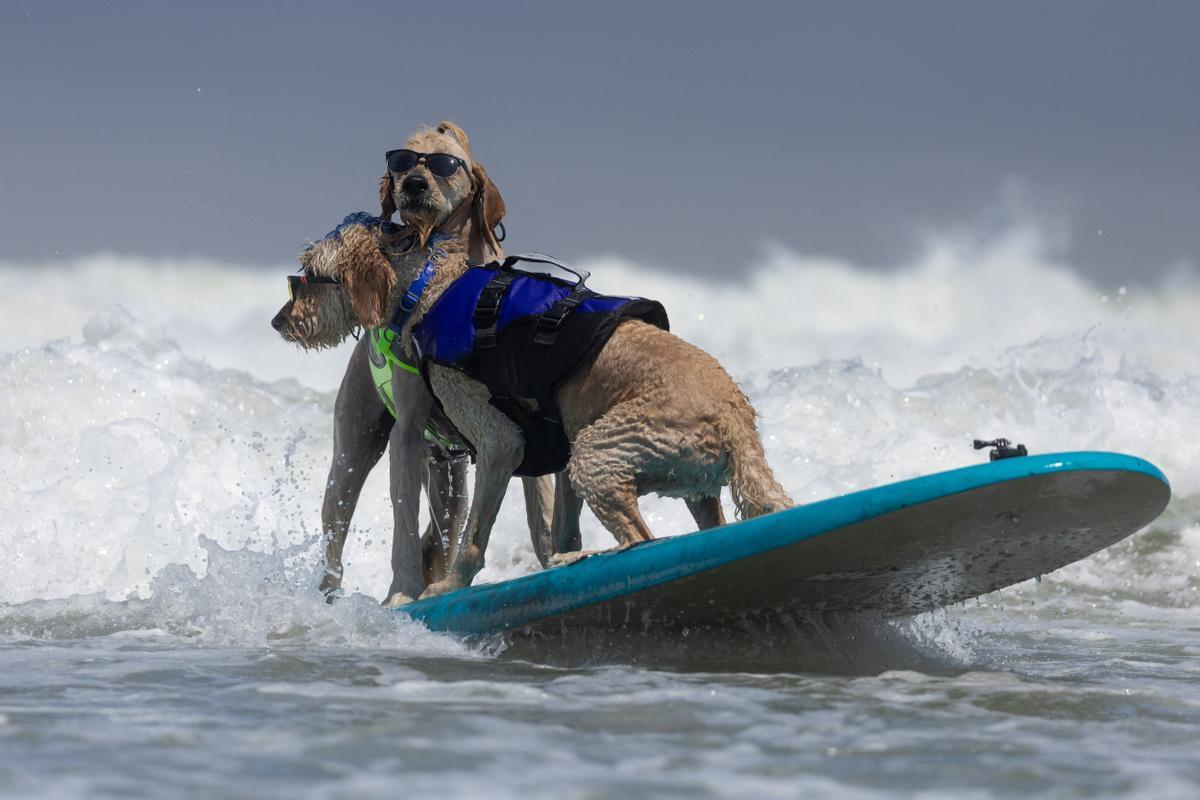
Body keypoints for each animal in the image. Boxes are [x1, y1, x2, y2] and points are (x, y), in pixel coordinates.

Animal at [272, 120, 561, 606]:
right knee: (337, 526)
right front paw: (402, 592)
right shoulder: (407, 430)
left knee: (447, 521)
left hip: (450, 473)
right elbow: (402, 518)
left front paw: (557, 560)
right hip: (353, 445)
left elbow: (540, 505)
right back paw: (329, 595)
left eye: (446, 163)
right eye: (403, 161)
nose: (413, 183)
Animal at [297, 126, 796, 599]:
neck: (433, 284)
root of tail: (737, 422)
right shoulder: (554, 439)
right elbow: (560, 527)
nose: (284, 318)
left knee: (641, 538)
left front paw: (449, 585)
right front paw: (559, 556)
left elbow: (474, 539)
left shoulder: (500, 441)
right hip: (680, 481)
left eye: (307, 273)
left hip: (597, 453)